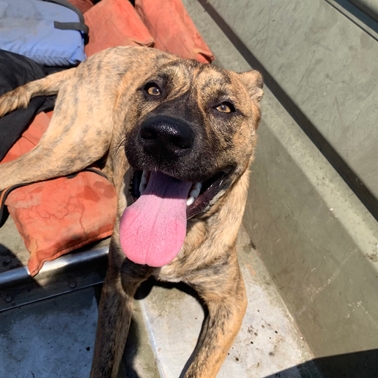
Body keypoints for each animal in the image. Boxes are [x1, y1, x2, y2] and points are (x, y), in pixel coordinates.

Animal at [0, 45, 262, 376]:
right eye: (153, 89)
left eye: (225, 107)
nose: (164, 135)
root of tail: (92, 59)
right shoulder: (118, 284)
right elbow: (105, 360)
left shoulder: (231, 300)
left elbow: (200, 367)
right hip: (78, 143)